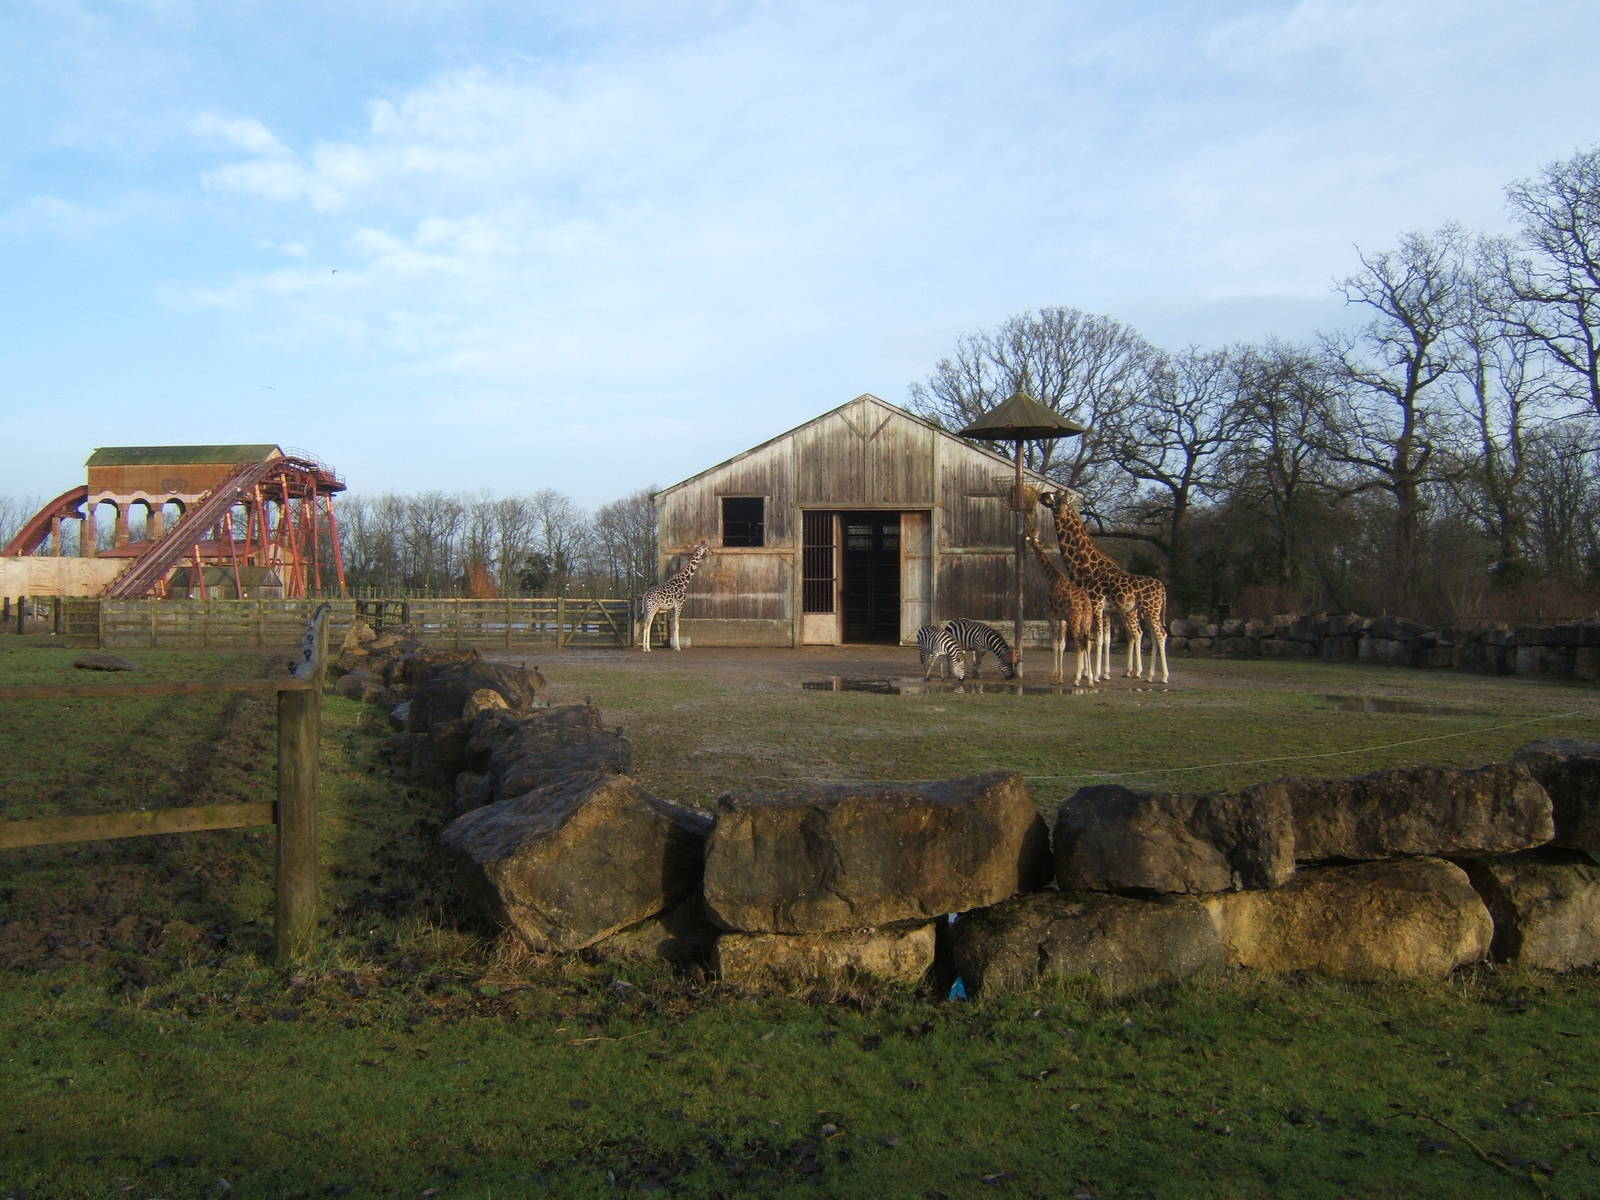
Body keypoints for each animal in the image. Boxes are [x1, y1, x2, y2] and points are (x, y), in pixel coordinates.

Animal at [1024, 527, 1097, 686]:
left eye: (1031, 538)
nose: (1028, 544)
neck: (1052, 577)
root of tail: (1084, 602)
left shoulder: (1051, 616)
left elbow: (1054, 644)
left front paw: (1055, 674)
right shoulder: (1062, 619)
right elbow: (1062, 645)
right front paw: (1060, 675)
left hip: (1074, 619)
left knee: (1079, 643)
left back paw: (1077, 679)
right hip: (1087, 620)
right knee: (1087, 643)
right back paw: (1090, 680)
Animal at [1039, 491, 1169, 684]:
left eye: (1059, 496)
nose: (1043, 495)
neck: (1085, 567)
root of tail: (1162, 588)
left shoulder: (1096, 605)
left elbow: (1097, 639)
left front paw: (1094, 675)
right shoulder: (1103, 610)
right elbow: (1104, 639)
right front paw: (1094, 673)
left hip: (1148, 610)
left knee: (1158, 634)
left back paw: (1162, 676)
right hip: (1145, 611)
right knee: (1148, 635)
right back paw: (1149, 675)